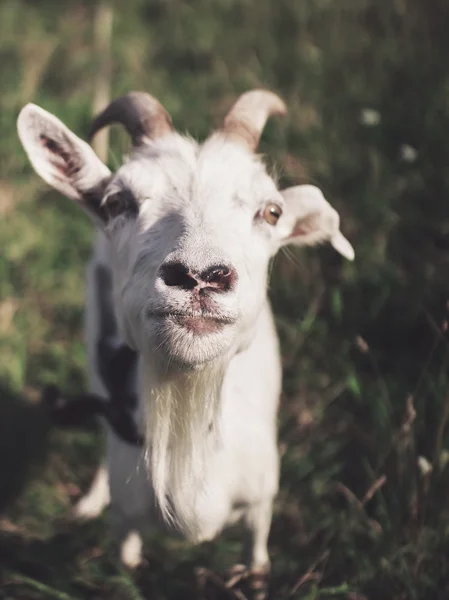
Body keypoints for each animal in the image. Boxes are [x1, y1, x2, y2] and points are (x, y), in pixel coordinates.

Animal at [16, 89, 354, 580]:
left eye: (272, 212)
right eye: (116, 202)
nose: (199, 276)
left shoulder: (261, 504)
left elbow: (257, 561)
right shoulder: (128, 522)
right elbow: (128, 562)